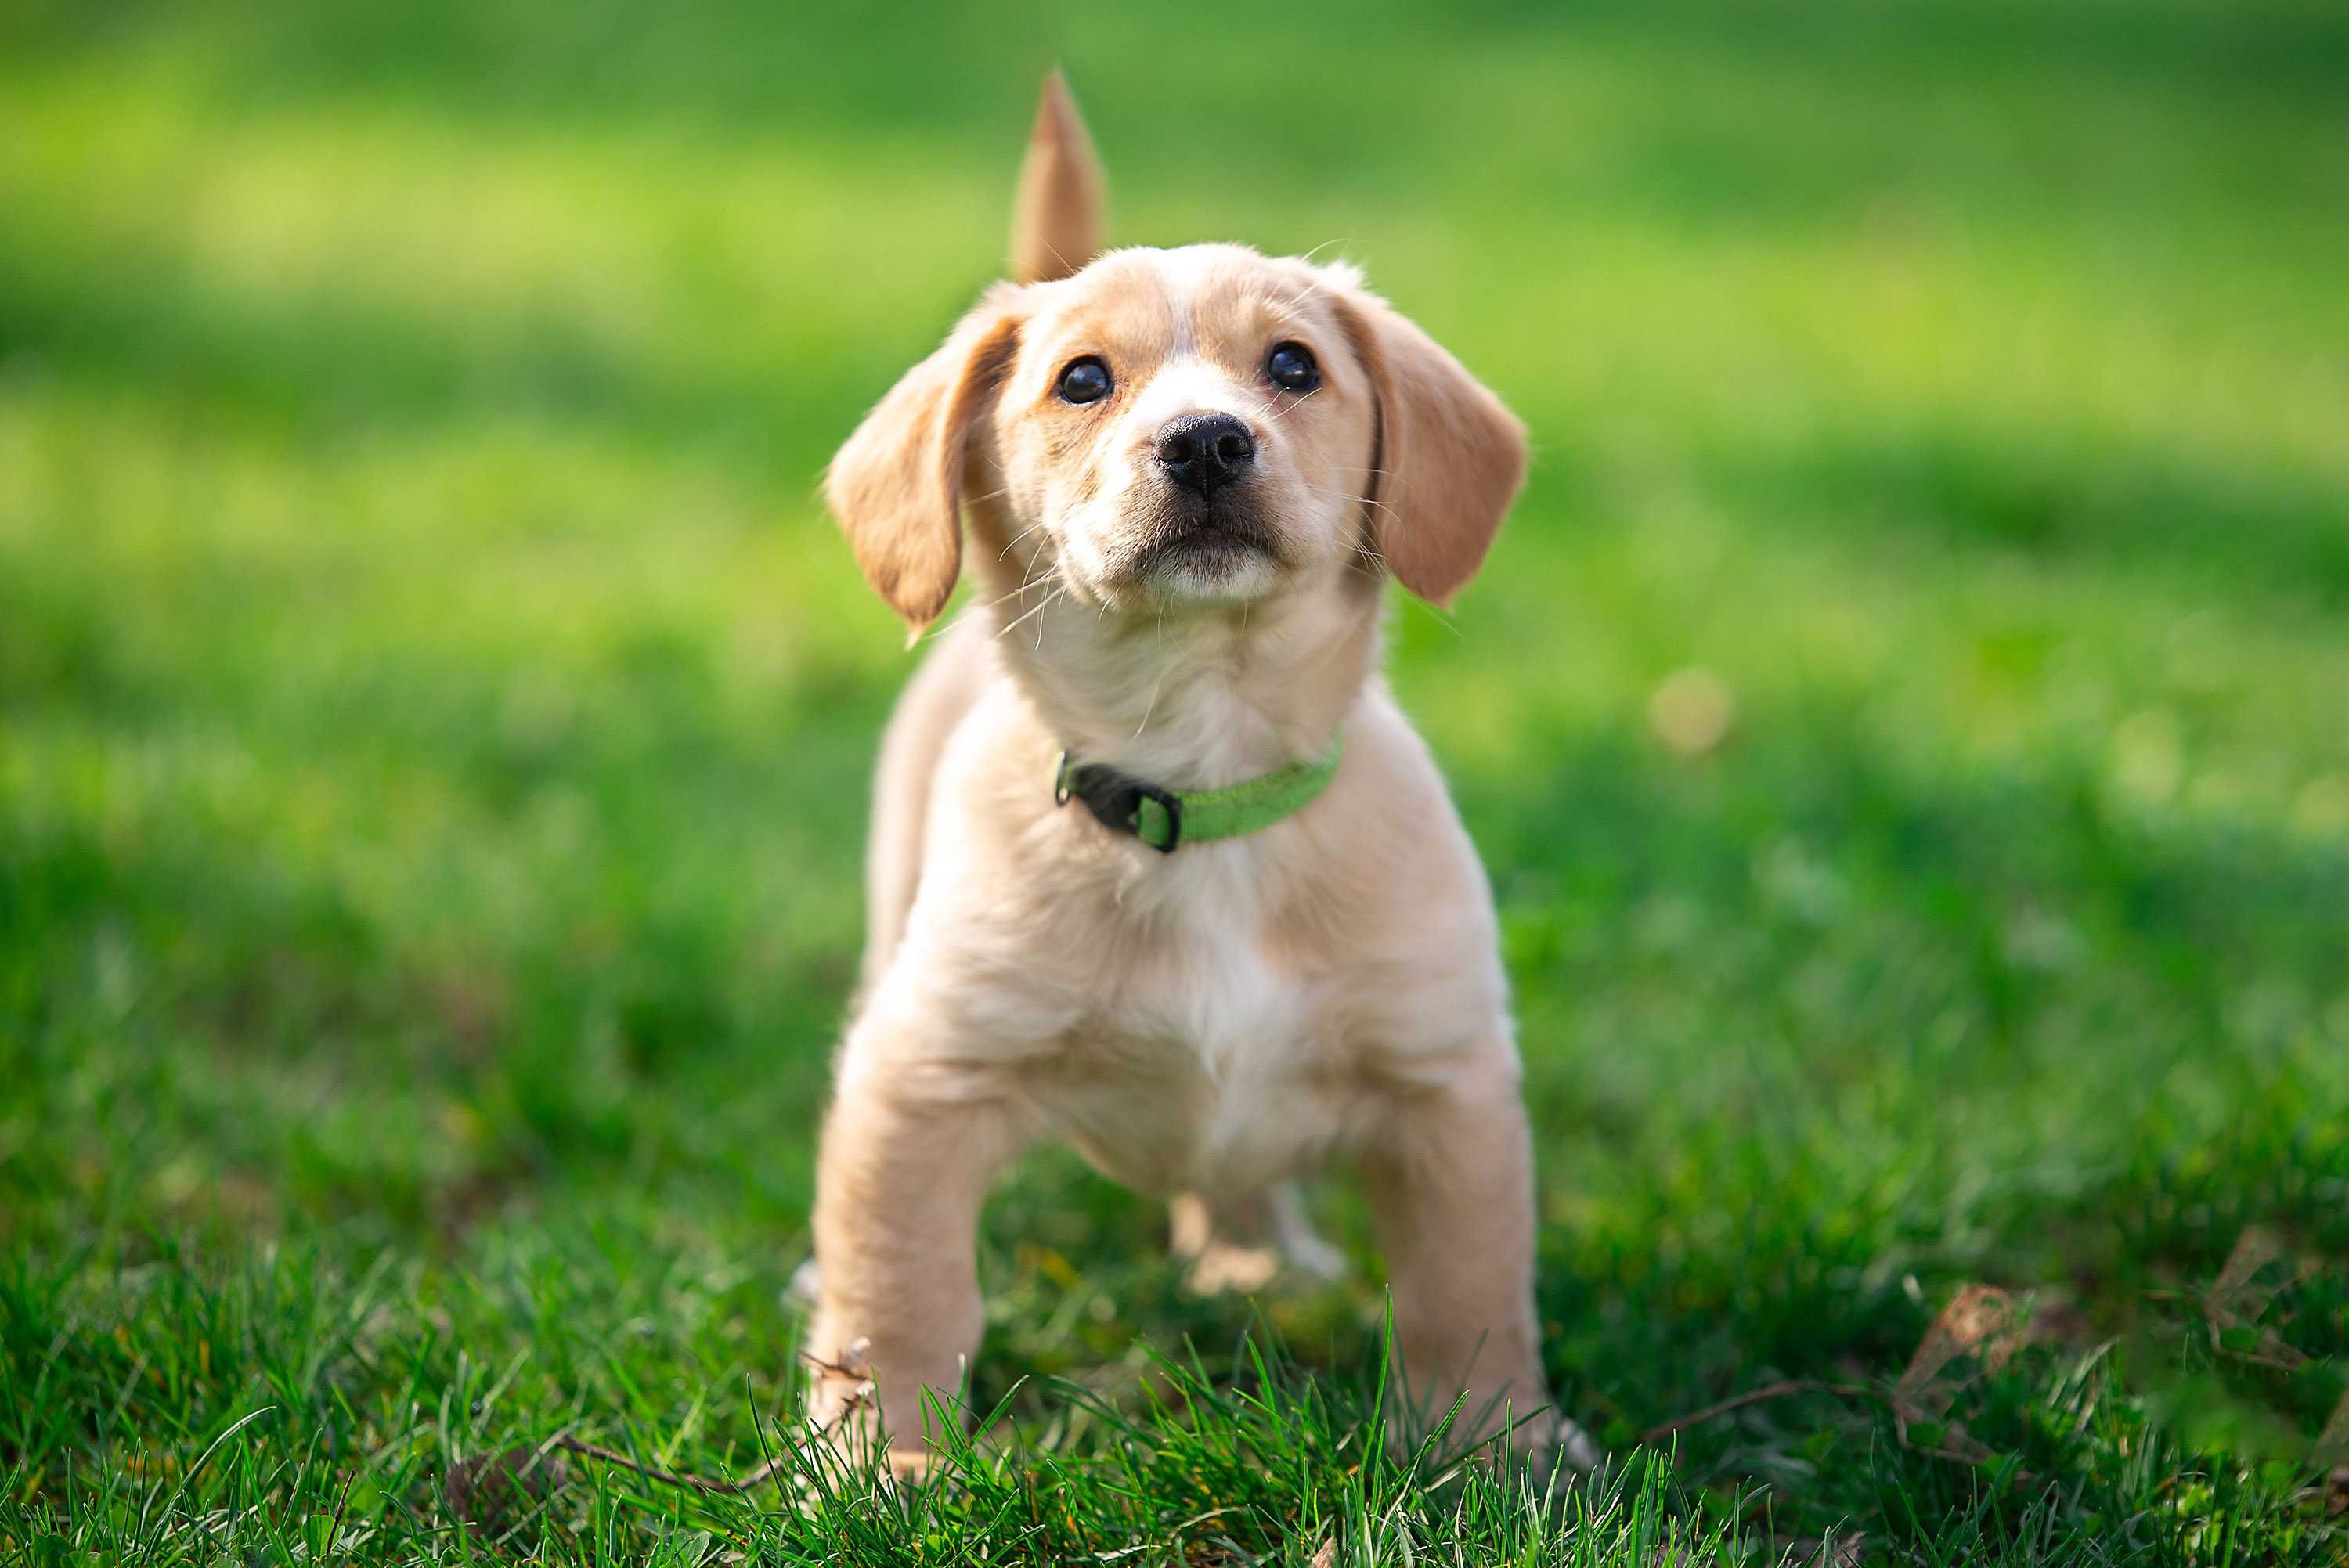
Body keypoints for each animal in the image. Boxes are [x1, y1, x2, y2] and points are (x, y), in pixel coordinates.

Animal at [808, 79, 1597, 1483]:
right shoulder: (920, 1076)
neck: (1205, 779)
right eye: (1082, 380)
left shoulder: (1447, 1080)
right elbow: (897, 1291)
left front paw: (1499, 1445)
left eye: (1293, 365)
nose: (1209, 443)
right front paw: (879, 1461)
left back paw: (1259, 1256)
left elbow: (1468, 1292)